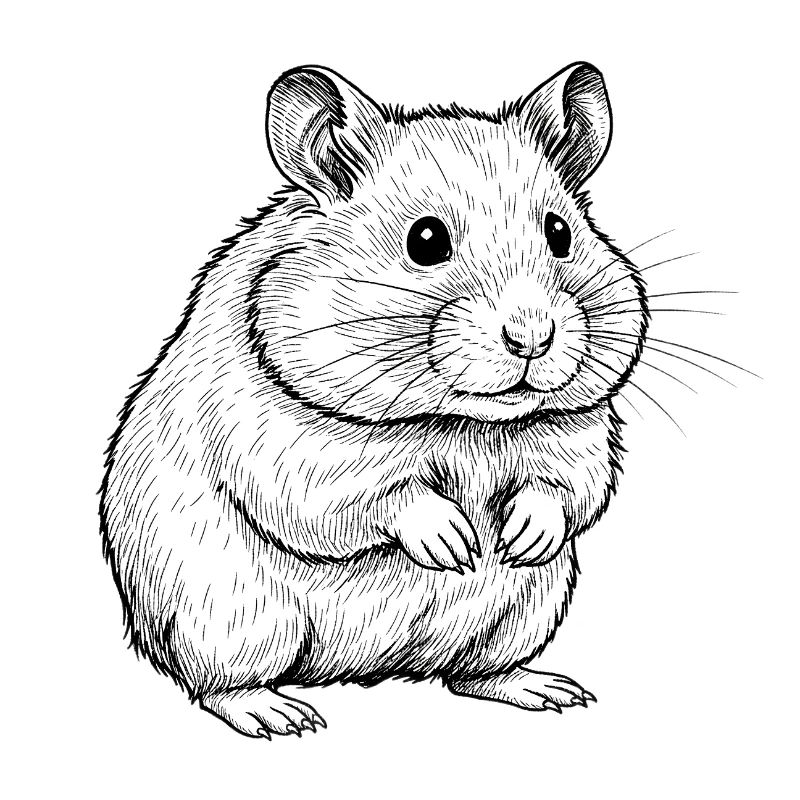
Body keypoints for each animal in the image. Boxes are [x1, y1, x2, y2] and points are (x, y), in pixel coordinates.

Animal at [100, 62, 648, 738]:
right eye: (426, 240)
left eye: (560, 232)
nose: (532, 338)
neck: (459, 421)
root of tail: (368, 669)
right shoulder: (286, 449)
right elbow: (369, 495)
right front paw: (457, 546)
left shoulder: (581, 431)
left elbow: (569, 487)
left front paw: (514, 539)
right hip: (230, 616)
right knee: (216, 686)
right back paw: (283, 716)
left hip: (527, 612)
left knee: (472, 675)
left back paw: (552, 691)